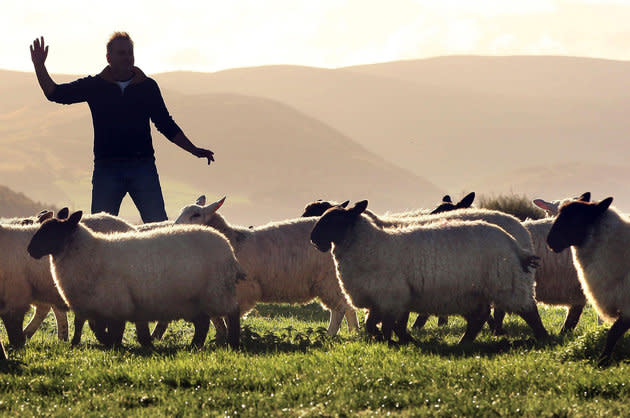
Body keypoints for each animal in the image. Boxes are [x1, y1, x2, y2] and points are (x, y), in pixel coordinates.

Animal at [26, 209, 242, 350]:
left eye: (53, 232)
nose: (30, 250)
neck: (89, 252)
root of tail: (226, 246)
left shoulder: (116, 303)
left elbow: (111, 329)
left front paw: (114, 345)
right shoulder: (98, 307)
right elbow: (96, 328)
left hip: (217, 291)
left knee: (233, 313)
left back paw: (232, 341)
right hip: (195, 299)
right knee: (202, 324)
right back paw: (194, 345)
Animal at [168, 195, 360, 336]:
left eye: (196, 215)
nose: (173, 228)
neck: (233, 241)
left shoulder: (242, 291)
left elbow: (230, 319)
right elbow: (217, 319)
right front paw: (220, 339)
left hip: (328, 280)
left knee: (339, 309)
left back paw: (329, 336)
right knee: (349, 306)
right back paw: (354, 333)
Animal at [312, 201, 548, 344]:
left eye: (335, 220)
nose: (314, 240)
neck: (370, 244)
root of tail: (512, 241)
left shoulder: (390, 297)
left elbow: (384, 325)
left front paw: (389, 341)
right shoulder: (384, 301)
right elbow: (379, 325)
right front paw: (399, 341)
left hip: (507, 284)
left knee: (529, 310)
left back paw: (543, 337)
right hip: (475, 292)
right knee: (479, 318)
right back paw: (463, 343)